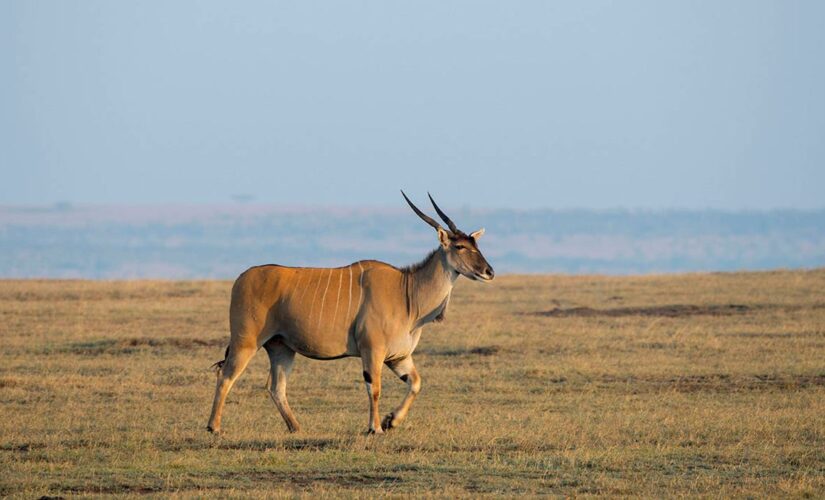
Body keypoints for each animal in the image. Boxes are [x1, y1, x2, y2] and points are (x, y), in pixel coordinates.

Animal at [208, 191, 496, 434]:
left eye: (476, 244)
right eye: (460, 247)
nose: (489, 271)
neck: (407, 292)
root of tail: (242, 277)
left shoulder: (399, 357)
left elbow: (415, 382)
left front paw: (391, 421)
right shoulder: (372, 351)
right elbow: (374, 388)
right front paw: (375, 427)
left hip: (281, 348)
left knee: (276, 387)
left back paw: (296, 428)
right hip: (246, 342)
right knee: (226, 376)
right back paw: (214, 427)